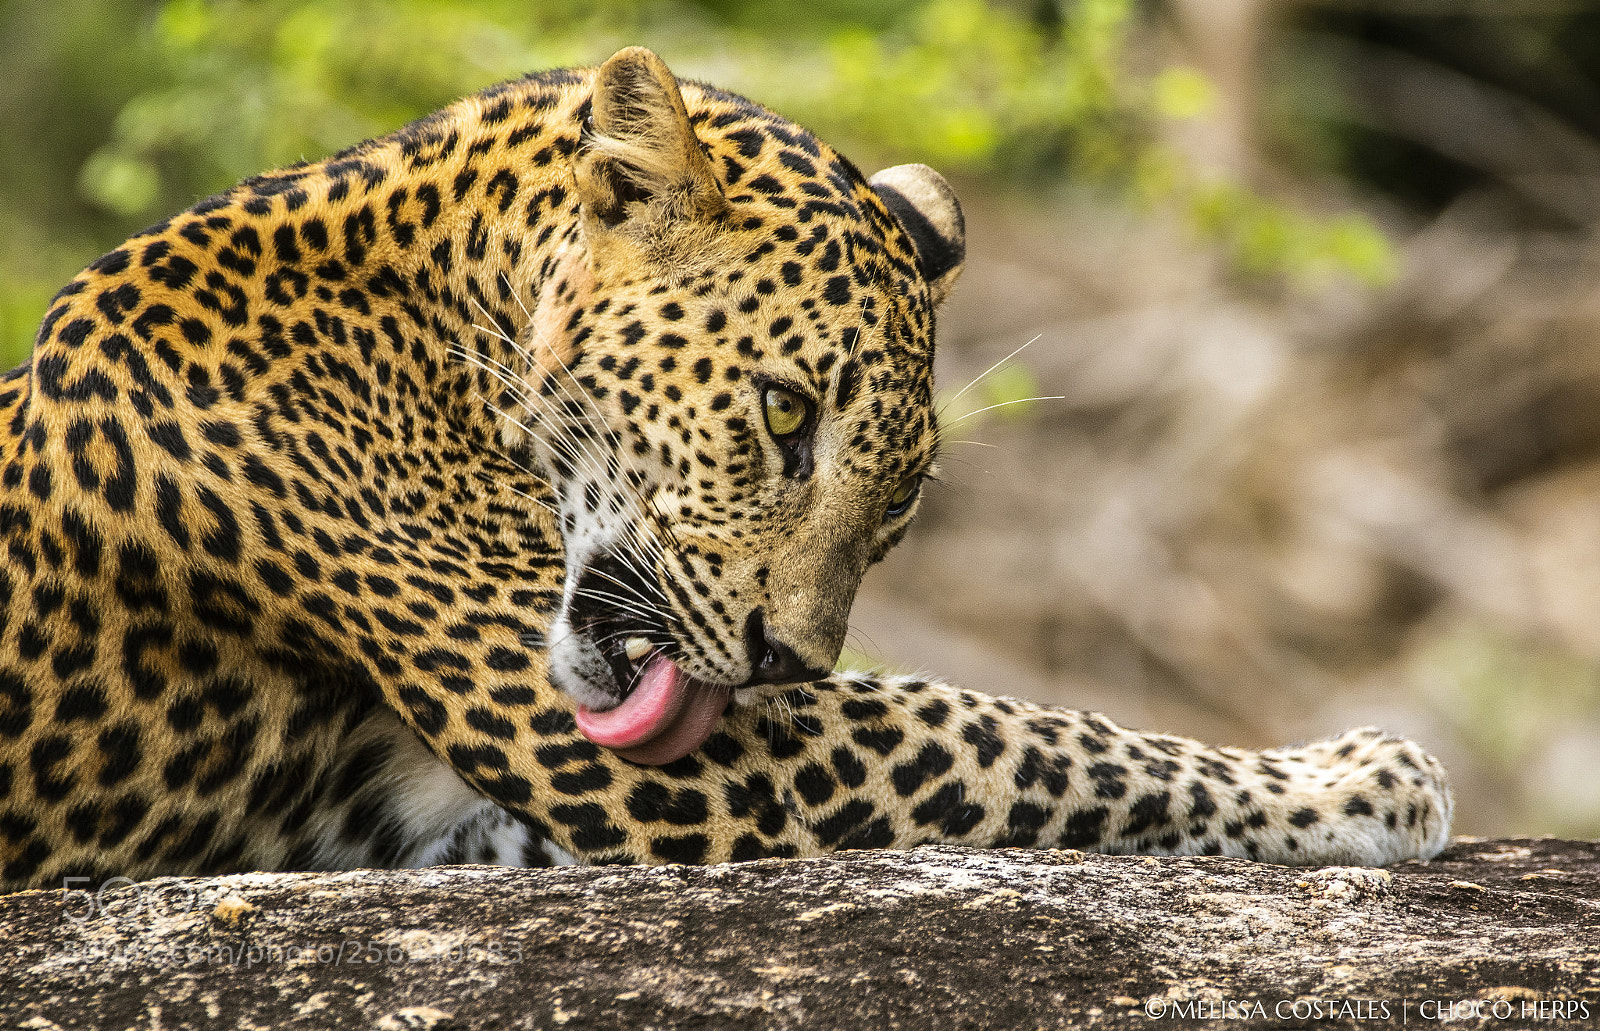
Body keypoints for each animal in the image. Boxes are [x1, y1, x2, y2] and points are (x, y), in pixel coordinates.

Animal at [0, 46, 1452, 892]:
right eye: (784, 411)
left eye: (902, 499)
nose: (785, 661)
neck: (445, 303)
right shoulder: (681, 765)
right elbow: (1030, 732)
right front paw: (1361, 775)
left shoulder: (442, 808)